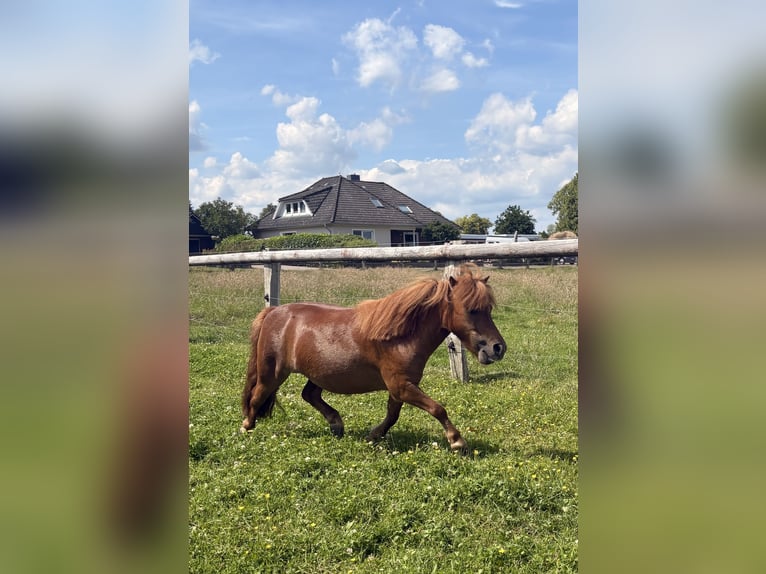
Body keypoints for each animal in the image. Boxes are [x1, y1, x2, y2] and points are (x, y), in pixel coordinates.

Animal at [240, 264, 506, 451]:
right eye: (471, 310)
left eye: (488, 309)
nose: (498, 348)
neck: (400, 337)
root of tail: (274, 311)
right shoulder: (401, 386)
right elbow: (438, 408)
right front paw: (457, 441)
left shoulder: (400, 387)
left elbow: (392, 415)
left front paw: (373, 435)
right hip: (272, 372)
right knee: (256, 396)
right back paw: (246, 427)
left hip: (318, 374)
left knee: (309, 395)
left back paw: (336, 424)